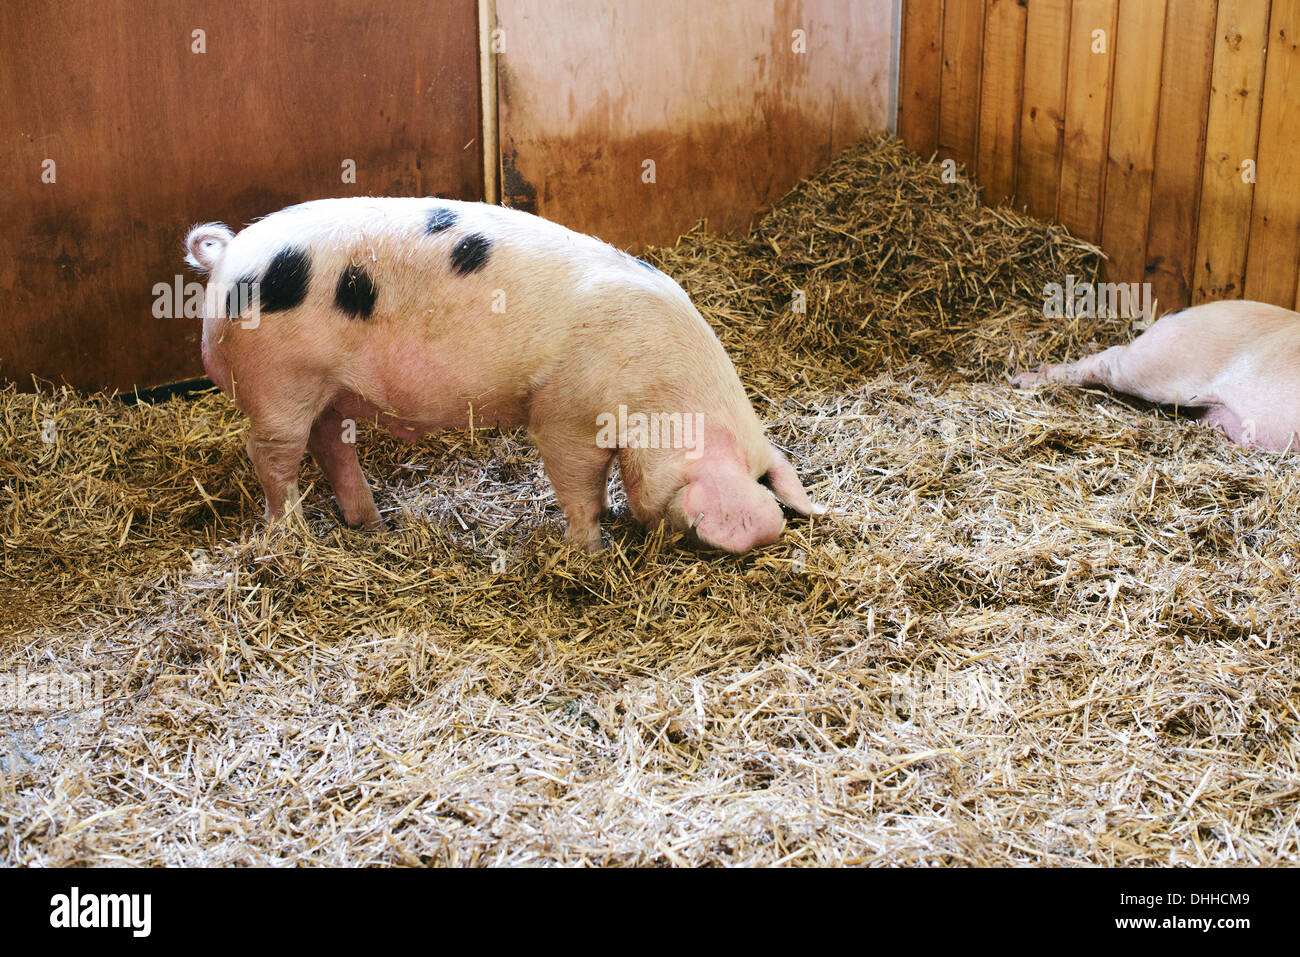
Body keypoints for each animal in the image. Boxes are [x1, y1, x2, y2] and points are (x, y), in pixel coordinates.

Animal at [184, 196, 821, 553]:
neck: (658, 394)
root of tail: (228, 255)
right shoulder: (564, 415)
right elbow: (577, 485)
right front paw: (590, 550)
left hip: (331, 390)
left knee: (330, 445)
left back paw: (375, 526)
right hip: (280, 383)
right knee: (271, 456)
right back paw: (293, 537)